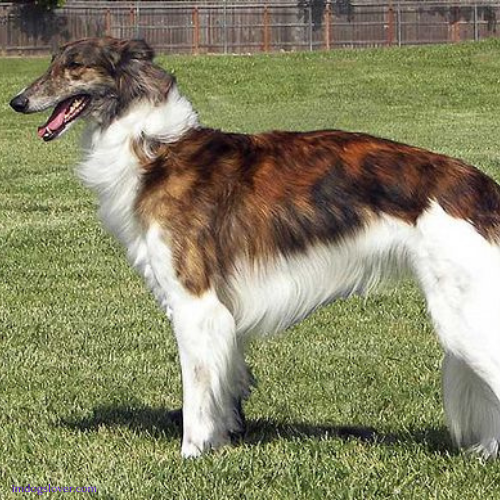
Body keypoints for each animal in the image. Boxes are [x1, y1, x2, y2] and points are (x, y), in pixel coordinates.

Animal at [10, 37, 500, 458]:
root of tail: (481, 185)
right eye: (52, 61)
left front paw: (191, 455)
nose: (17, 101)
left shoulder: (195, 303)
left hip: (464, 318)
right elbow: (224, 389)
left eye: (74, 65)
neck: (152, 150)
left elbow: (196, 394)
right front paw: (222, 443)